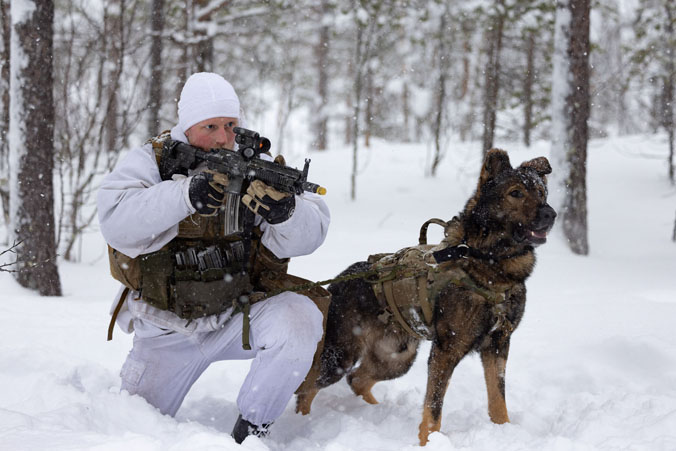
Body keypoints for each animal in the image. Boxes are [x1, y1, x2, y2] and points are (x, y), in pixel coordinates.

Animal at [294, 149, 556, 444]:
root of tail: (335, 285)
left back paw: (373, 411)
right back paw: (301, 424)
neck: (489, 264)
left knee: (357, 380)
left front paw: (503, 432)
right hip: (341, 357)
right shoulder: (446, 351)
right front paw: (429, 442)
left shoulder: (498, 345)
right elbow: (434, 409)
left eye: (542, 192)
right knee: (307, 387)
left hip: (397, 359)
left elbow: (498, 401)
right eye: (516, 193)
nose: (551, 213)